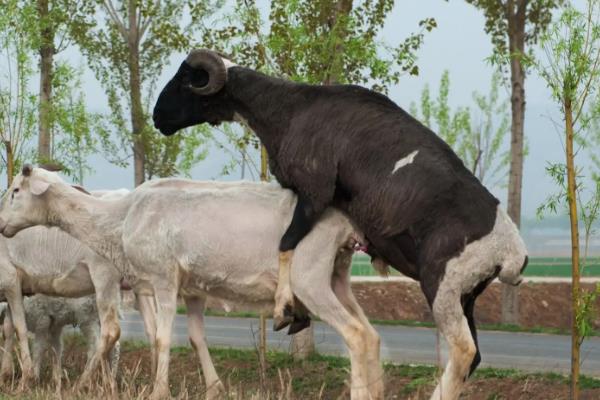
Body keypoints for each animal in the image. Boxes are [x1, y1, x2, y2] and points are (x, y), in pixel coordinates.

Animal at [0, 167, 384, 400]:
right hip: (337, 277)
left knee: (356, 335)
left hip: (308, 277)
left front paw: (155, 390)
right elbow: (196, 338)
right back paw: (377, 390)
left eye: (16, 190)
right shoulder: (192, 287)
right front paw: (214, 387)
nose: (0, 224)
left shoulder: (163, 278)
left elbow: (162, 336)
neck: (117, 218)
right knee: (372, 334)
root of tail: (345, 225)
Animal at [151, 49, 528, 400]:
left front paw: (286, 311)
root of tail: (510, 252)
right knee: (473, 356)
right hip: (467, 296)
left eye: (186, 80)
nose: (157, 118)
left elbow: (286, 243)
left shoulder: (312, 192)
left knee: (463, 350)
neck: (287, 108)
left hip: (443, 286)